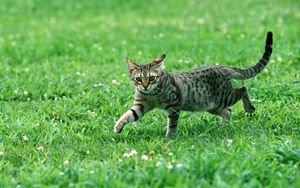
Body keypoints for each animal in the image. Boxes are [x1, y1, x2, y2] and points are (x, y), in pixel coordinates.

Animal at [113, 31, 274, 136]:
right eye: (139, 79)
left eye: (151, 78)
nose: (145, 86)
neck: (151, 95)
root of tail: (224, 67)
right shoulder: (141, 105)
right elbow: (129, 114)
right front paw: (118, 126)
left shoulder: (174, 106)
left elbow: (172, 124)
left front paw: (169, 139)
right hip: (212, 105)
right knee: (228, 110)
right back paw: (224, 128)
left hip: (224, 97)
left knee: (243, 89)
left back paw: (248, 108)